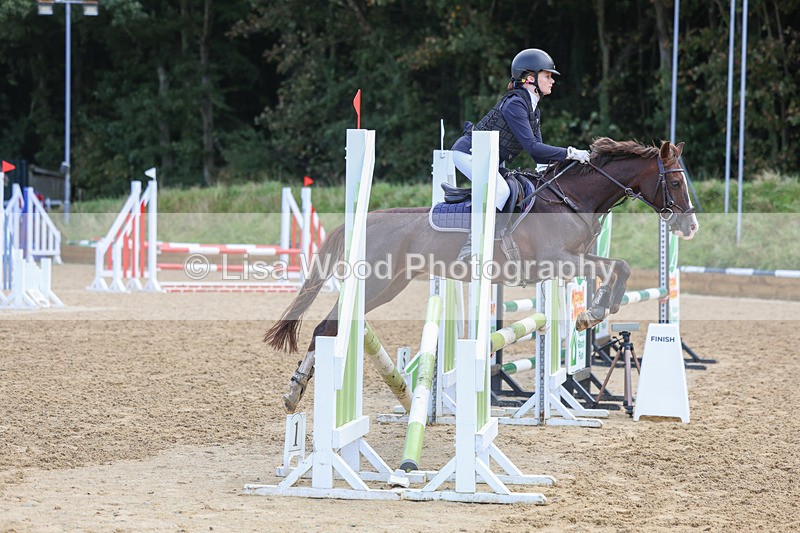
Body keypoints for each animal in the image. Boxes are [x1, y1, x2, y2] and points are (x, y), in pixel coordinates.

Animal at [265, 137, 699, 413]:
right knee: (326, 326)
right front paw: (591, 314)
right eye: (676, 180)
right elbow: (617, 268)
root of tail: (362, 221)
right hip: (373, 283)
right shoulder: (559, 260)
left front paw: (594, 312)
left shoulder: (576, 259)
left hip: (389, 285)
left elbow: (618, 268)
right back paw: (293, 393)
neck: (571, 199)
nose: (691, 226)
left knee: (334, 325)